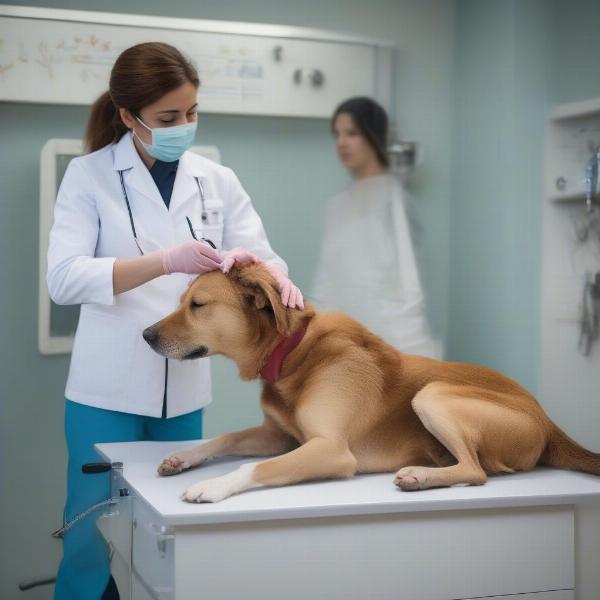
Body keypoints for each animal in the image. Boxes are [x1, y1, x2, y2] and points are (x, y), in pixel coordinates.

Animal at [142, 264, 600, 504]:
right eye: (182, 302)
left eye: (197, 305)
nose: (145, 334)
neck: (294, 353)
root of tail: (549, 422)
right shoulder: (281, 436)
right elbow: (226, 438)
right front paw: (183, 457)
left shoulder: (330, 449)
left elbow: (252, 466)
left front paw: (212, 484)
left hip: (432, 395)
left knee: (476, 472)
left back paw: (420, 476)